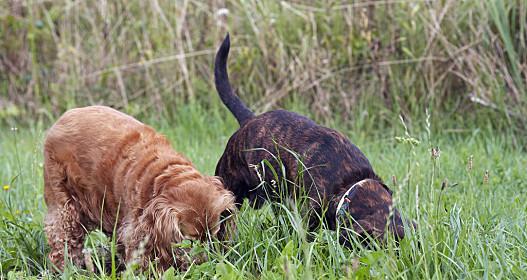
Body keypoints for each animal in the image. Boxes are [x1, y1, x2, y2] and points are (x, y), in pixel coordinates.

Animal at [44, 106, 235, 270]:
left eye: (212, 236)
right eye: (190, 241)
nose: (207, 263)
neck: (166, 174)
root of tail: (62, 118)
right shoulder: (139, 230)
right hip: (64, 208)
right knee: (62, 243)